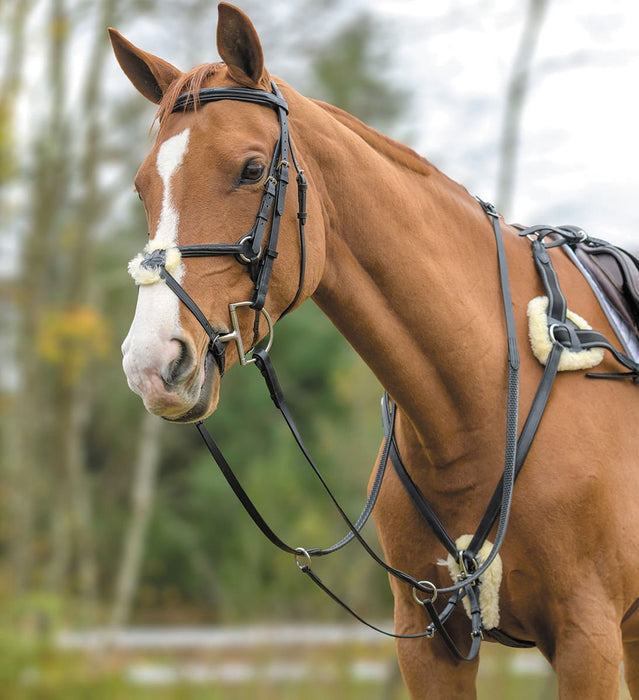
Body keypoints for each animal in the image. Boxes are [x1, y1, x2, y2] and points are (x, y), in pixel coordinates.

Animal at [109, 4, 639, 697]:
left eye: (251, 170)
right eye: (143, 187)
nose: (152, 363)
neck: (481, 405)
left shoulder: (587, 639)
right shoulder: (432, 645)